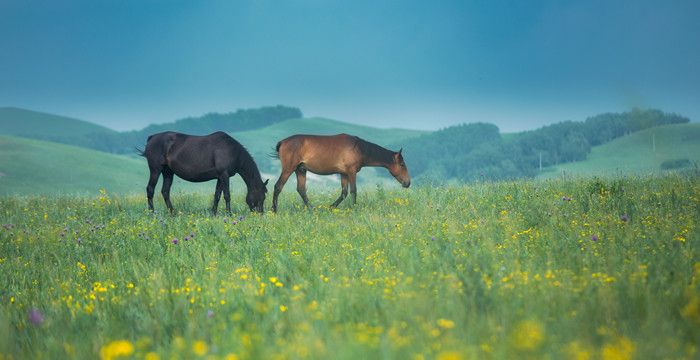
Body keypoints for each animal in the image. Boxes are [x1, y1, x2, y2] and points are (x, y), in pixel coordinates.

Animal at [139, 131, 268, 214]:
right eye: (262, 196)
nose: (260, 214)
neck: (232, 151)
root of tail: (151, 138)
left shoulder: (220, 177)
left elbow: (217, 195)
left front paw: (214, 213)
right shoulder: (224, 175)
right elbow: (227, 195)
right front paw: (229, 214)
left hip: (168, 172)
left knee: (165, 191)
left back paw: (172, 213)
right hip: (155, 170)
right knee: (150, 189)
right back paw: (152, 212)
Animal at [270, 134, 410, 212]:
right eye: (402, 165)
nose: (408, 183)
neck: (358, 148)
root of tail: (283, 142)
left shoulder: (344, 174)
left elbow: (344, 193)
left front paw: (331, 207)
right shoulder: (351, 172)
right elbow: (353, 191)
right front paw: (354, 208)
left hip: (301, 170)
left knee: (301, 190)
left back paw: (312, 209)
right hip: (288, 169)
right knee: (278, 187)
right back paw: (274, 210)